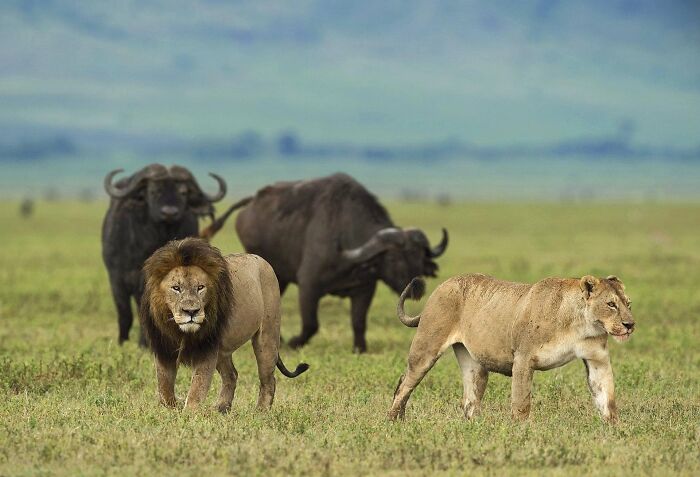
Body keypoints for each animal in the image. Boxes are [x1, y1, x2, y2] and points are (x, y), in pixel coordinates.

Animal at [102, 164, 226, 346]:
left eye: (183, 192)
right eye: (153, 191)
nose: (169, 212)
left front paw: (144, 343)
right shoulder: (116, 278)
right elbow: (125, 313)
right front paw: (122, 342)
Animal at [139, 237, 309, 412]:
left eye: (200, 287)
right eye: (176, 288)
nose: (191, 312)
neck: (179, 331)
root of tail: (262, 260)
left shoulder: (207, 349)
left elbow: (197, 389)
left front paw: (188, 414)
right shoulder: (164, 349)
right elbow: (164, 390)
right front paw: (173, 408)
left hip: (266, 337)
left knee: (269, 379)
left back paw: (261, 412)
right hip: (222, 350)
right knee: (232, 375)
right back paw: (221, 408)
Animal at [203, 173, 448, 353]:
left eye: (419, 256)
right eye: (395, 257)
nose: (417, 287)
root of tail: (252, 201)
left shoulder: (364, 289)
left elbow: (359, 322)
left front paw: (360, 348)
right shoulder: (309, 286)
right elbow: (311, 324)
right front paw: (294, 342)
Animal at [388, 273, 634, 423]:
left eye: (628, 304)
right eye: (611, 304)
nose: (630, 324)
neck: (580, 324)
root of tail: (445, 283)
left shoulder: (597, 360)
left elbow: (607, 398)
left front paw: (616, 431)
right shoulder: (523, 359)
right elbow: (521, 402)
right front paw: (520, 433)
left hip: (474, 365)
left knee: (470, 399)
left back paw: (474, 427)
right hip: (426, 348)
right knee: (404, 384)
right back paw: (394, 421)